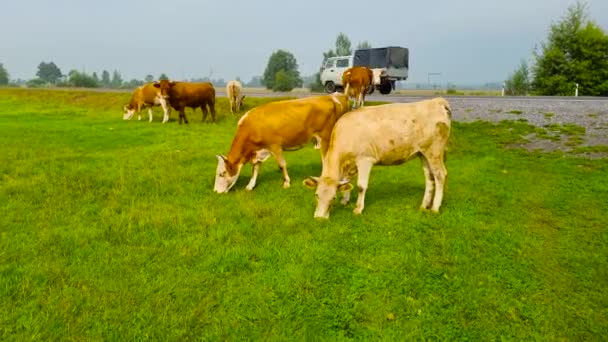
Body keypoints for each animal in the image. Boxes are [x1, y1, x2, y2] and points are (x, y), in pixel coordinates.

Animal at [214, 92, 350, 194]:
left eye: (222, 174)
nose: (215, 191)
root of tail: (331, 96)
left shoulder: (275, 146)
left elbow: (282, 165)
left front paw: (286, 183)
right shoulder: (258, 151)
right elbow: (256, 168)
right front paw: (250, 185)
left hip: (325, 137)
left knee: (327, 159)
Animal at [304, 97, 452, 218]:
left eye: (333, 198)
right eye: (316, 195)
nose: (319, 218)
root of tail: (437, 101)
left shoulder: (365, 160)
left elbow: (361, 186)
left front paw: (358, 209)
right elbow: (347, 182)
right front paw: (345, 200)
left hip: (434, 151)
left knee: (440, 175)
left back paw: (435, 208)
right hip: (423, 153)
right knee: (430, 178)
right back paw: (424, 206)